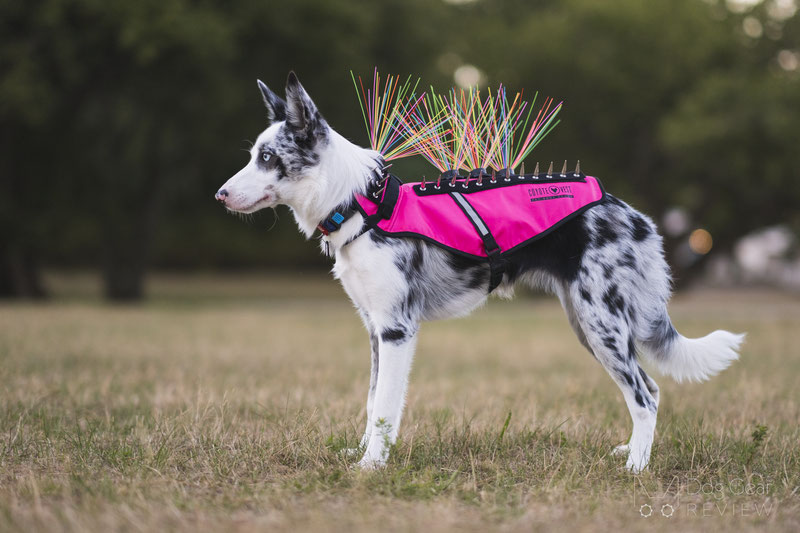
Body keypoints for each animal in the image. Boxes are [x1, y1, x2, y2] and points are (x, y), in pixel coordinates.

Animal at [217, 71, 744, 474]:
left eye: (268, 158)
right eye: (253, 155)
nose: (220, 195)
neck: (362, 203)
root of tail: (632, 214)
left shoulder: (397, 331)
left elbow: (385, 408)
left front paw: (372, 467)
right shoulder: (374, 331)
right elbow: (371, 404)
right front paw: (365, 453)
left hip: (603, 327)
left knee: (645, 396)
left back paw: (636, 467)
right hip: (590, 327)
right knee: (646, 389)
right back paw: (631, 452)